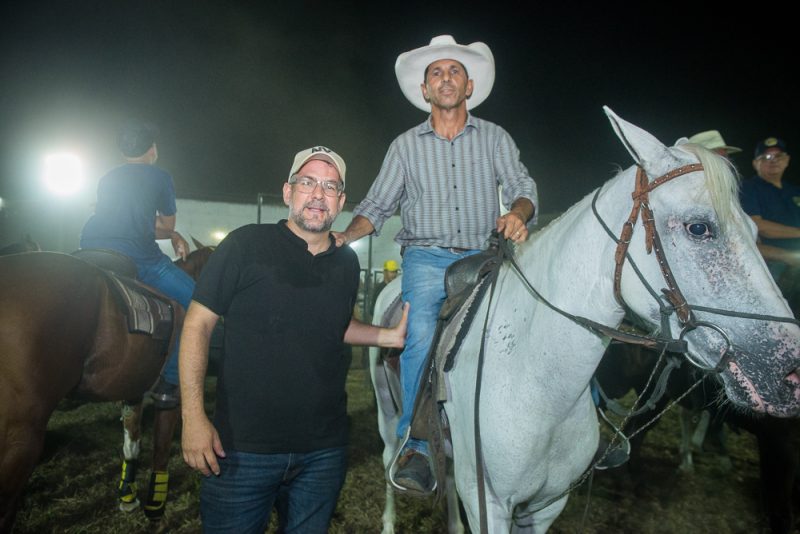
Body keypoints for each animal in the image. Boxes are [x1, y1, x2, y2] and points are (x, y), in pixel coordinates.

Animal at [0, 245, 214, 532]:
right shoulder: (173, 393)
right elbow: (160, 450)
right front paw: (155, 510)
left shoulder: (132, 391)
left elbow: (131, 445)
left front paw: (127, 496)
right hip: (21, 437)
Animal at [372, 107, 800, 532]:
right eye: (699, 227)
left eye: (756, 231)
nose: (791, 376)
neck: (538, 383)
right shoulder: (488, 503)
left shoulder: (546, 505)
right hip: (389, 419)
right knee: (392, 460)